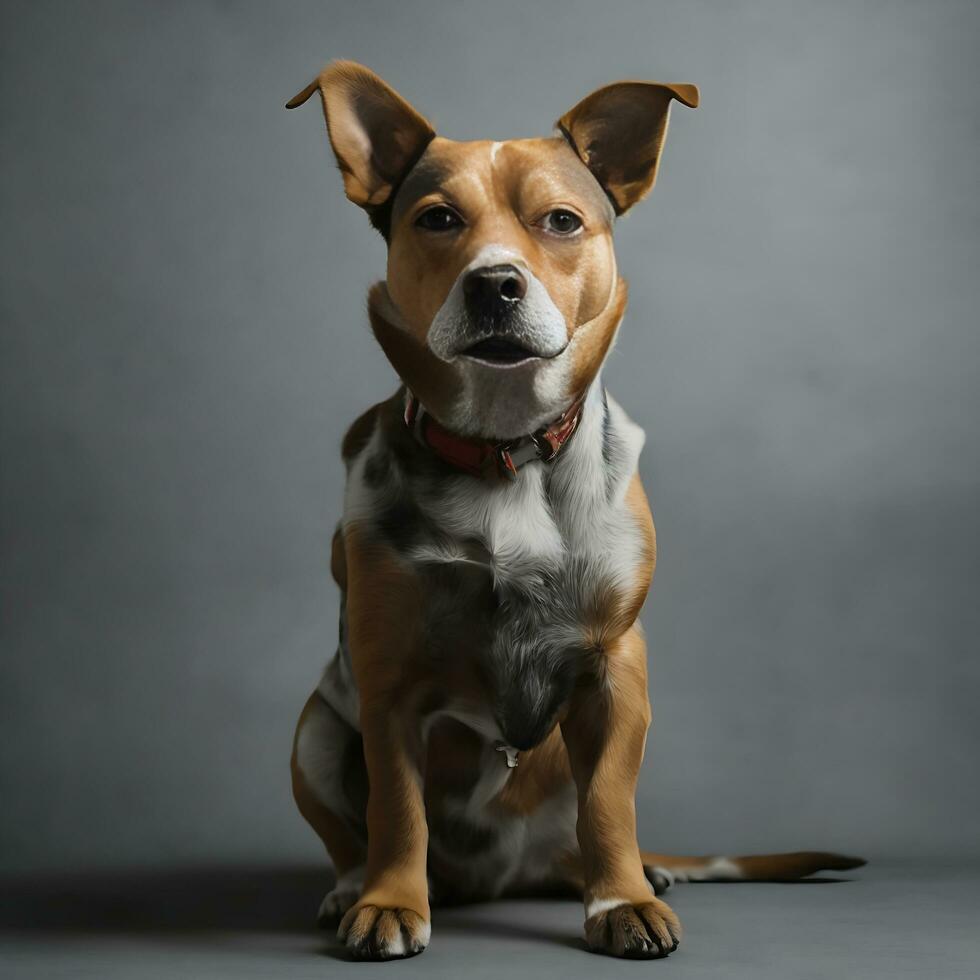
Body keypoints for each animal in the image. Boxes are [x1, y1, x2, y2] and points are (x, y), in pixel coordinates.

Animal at [286, 63, 864, 964]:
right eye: (437, 218)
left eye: (561, 220)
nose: (495, 283)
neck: (507, 449)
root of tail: (498, 877)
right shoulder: (387, 683)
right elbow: (397, 810)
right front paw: (388, 902)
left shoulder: (616, 669)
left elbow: (609, 807)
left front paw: (621, 899)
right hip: (314, 730)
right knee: (354, 829)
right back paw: (357, 887)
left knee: (582, 834)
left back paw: (629, 874)